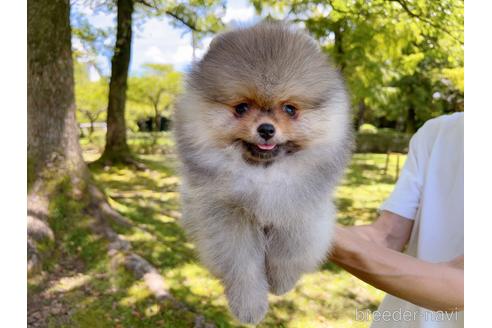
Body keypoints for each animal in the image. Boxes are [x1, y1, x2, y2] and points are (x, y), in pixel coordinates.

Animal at [173, 21, 354, 324]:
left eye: (290, 109)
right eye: (241, 108)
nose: (267, 129)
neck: (263, 177)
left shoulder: (301, 210)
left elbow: (289, 253)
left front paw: (281, 282)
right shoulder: (226, 217)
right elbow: (242, 266)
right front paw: (249, 306)